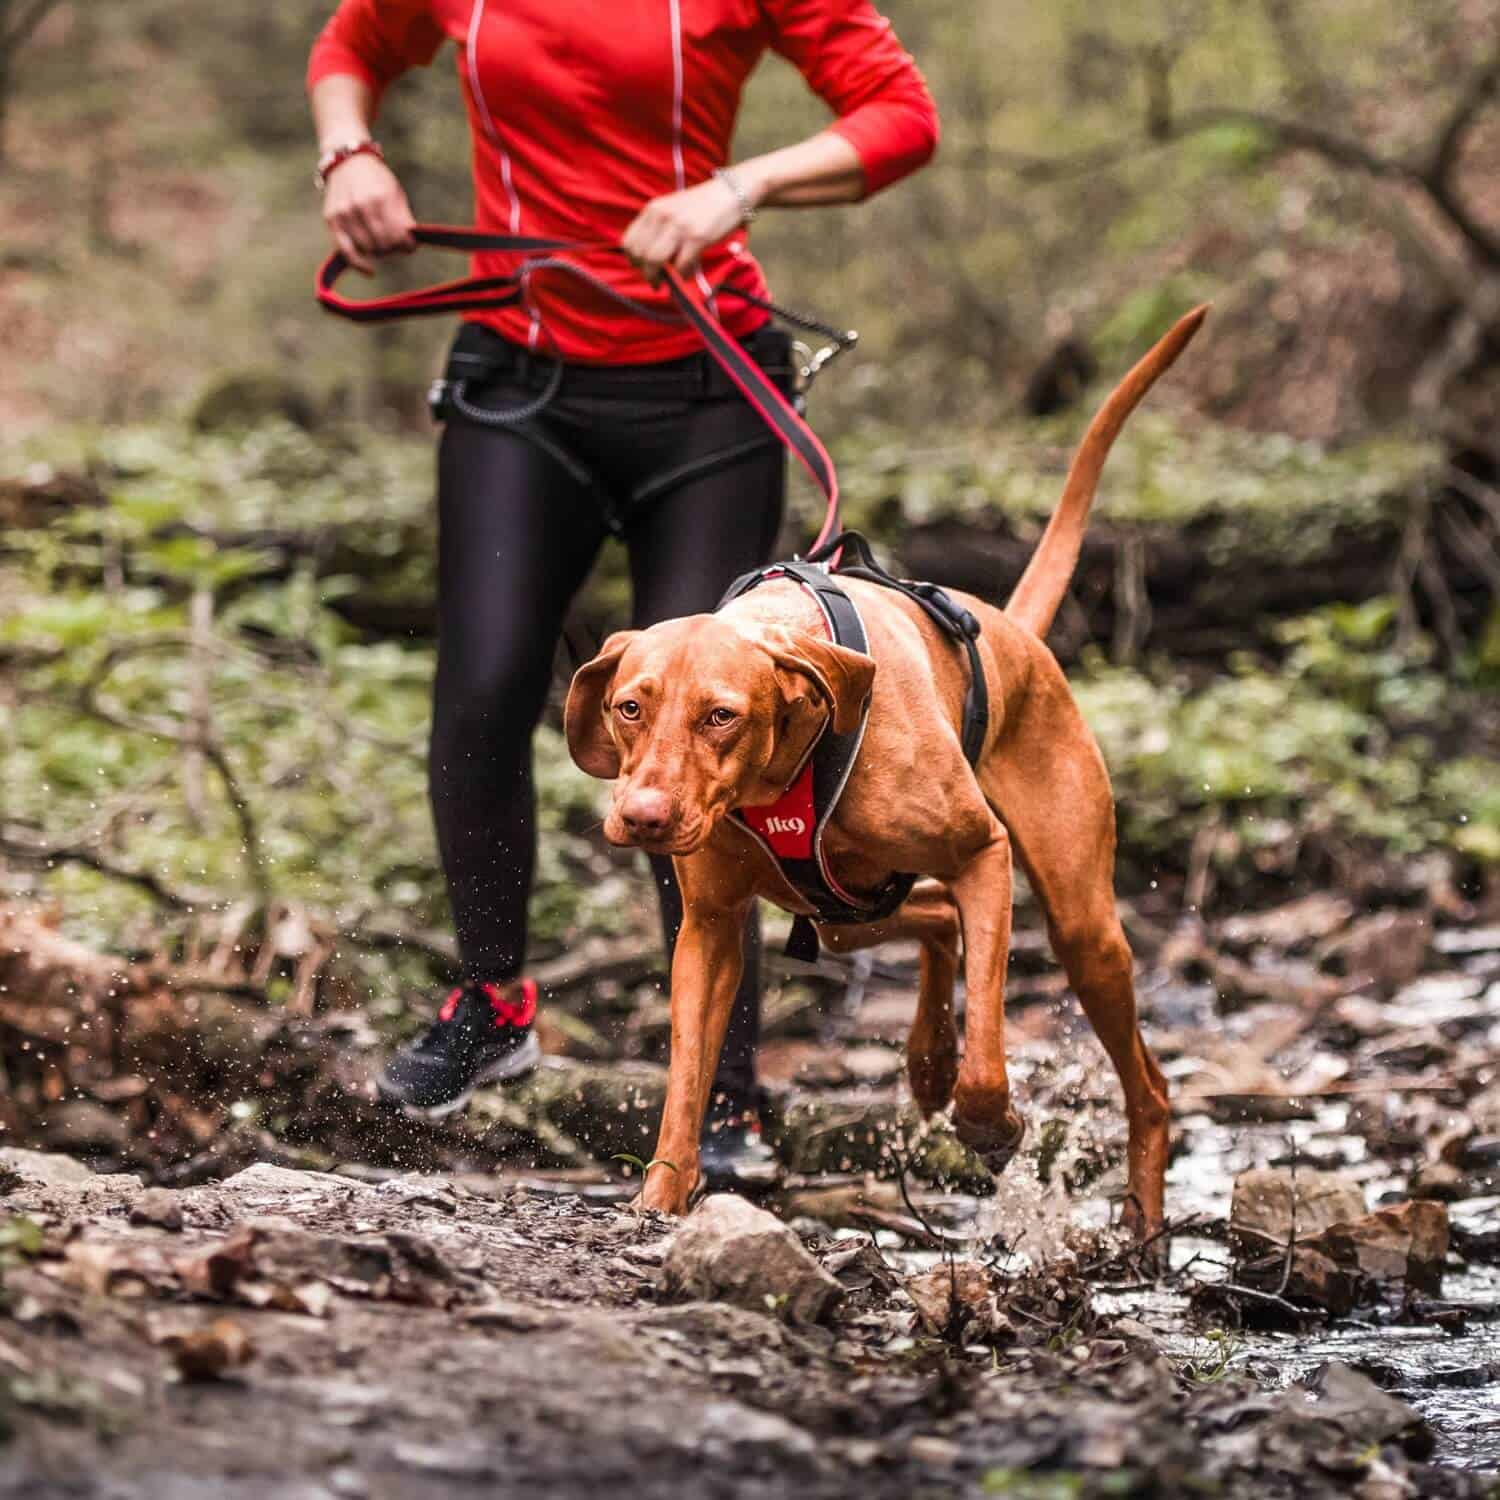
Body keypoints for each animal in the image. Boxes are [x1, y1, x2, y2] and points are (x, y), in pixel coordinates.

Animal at [564, 307, 1206, 1242]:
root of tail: (1013, 630)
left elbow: (989, 1063)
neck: (788, 763)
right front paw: (659, 1201)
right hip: (844, 915)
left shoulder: (984, 855)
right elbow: (685, 1083)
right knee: (934, 919)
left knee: (1147, 1084)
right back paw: (927, 1060)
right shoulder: (710, 928)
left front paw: (991, 1125)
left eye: (722, 715)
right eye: (630, 708)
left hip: (1081, 924)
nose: (642, 818)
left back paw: (1144, 1223)